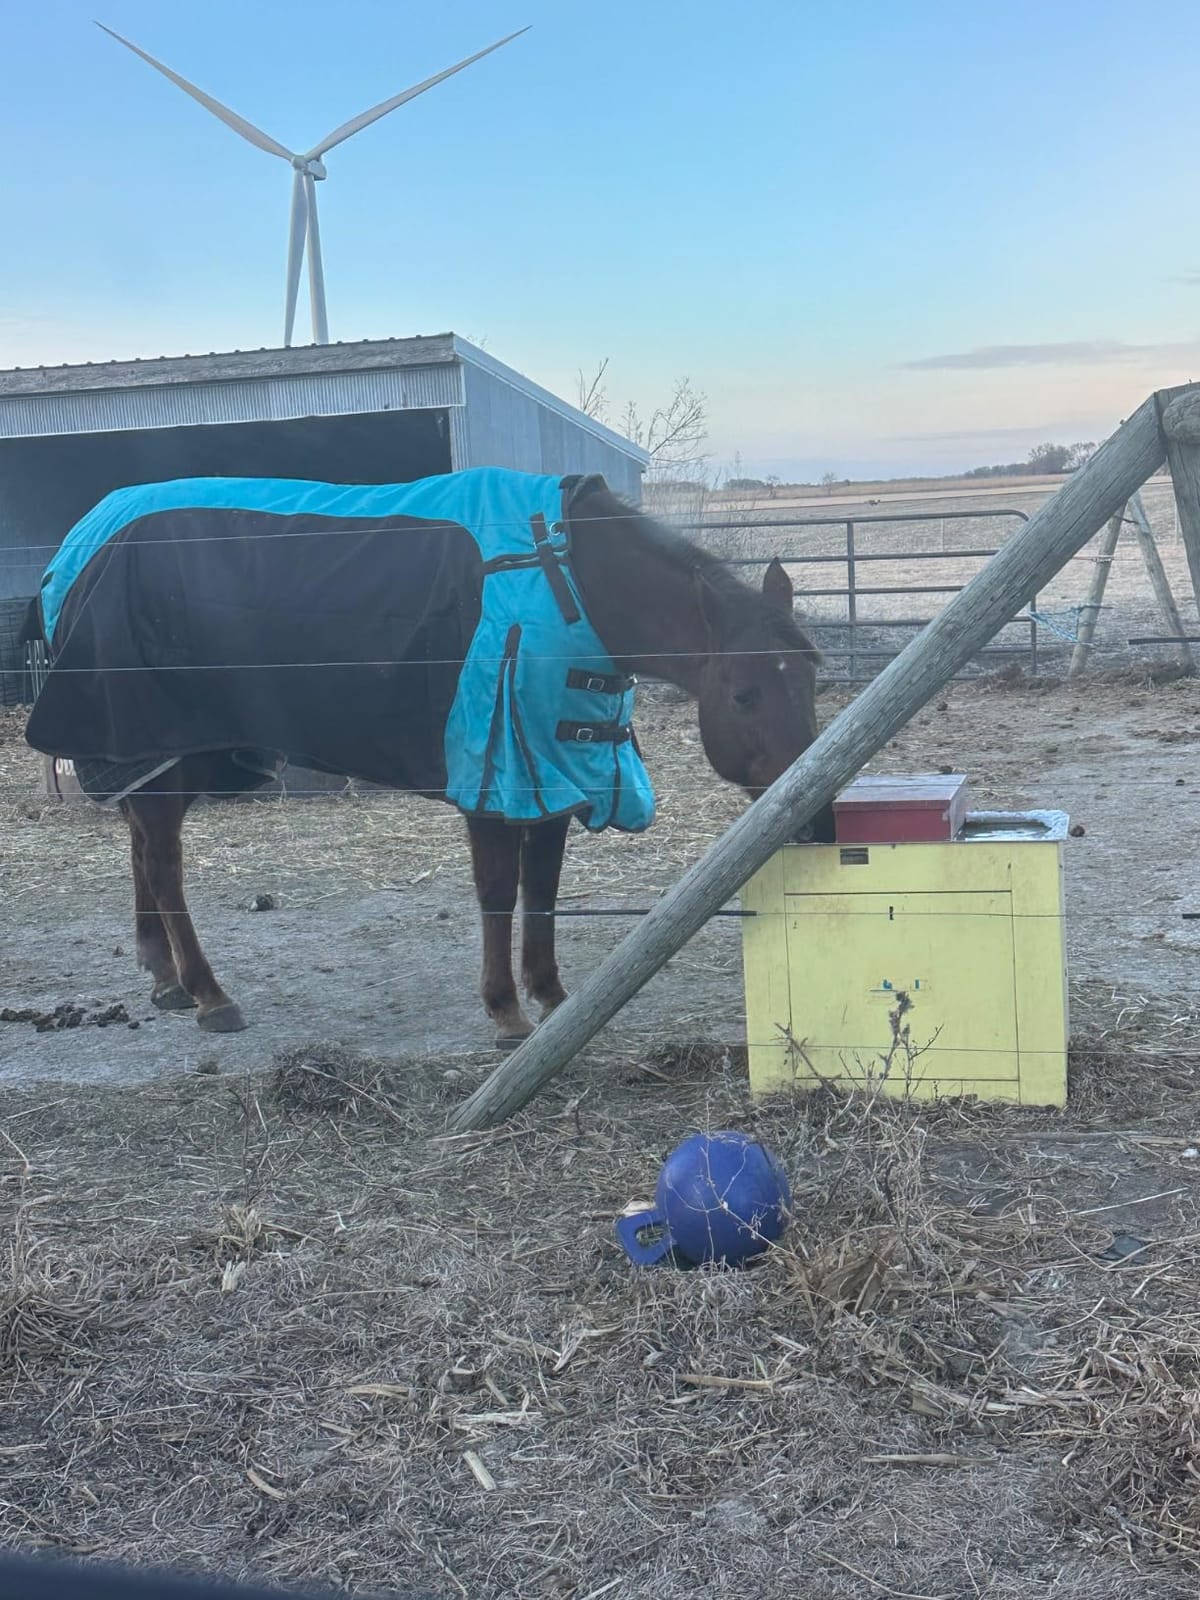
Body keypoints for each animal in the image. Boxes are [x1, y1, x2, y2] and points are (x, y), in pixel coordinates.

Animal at [24, 468, 830, 1048]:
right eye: (745, 694)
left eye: (811, 676)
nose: (818, 823)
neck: (567, 582)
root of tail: (77, 547)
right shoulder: (496, 781)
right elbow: (500, 892)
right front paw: (505, 1011)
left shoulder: (551, 775)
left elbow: (543, 890)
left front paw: (553, 999)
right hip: (158, 745)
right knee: (162, 861)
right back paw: (208, 994)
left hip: (169, 755)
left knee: (141, 847)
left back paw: (164, 978)